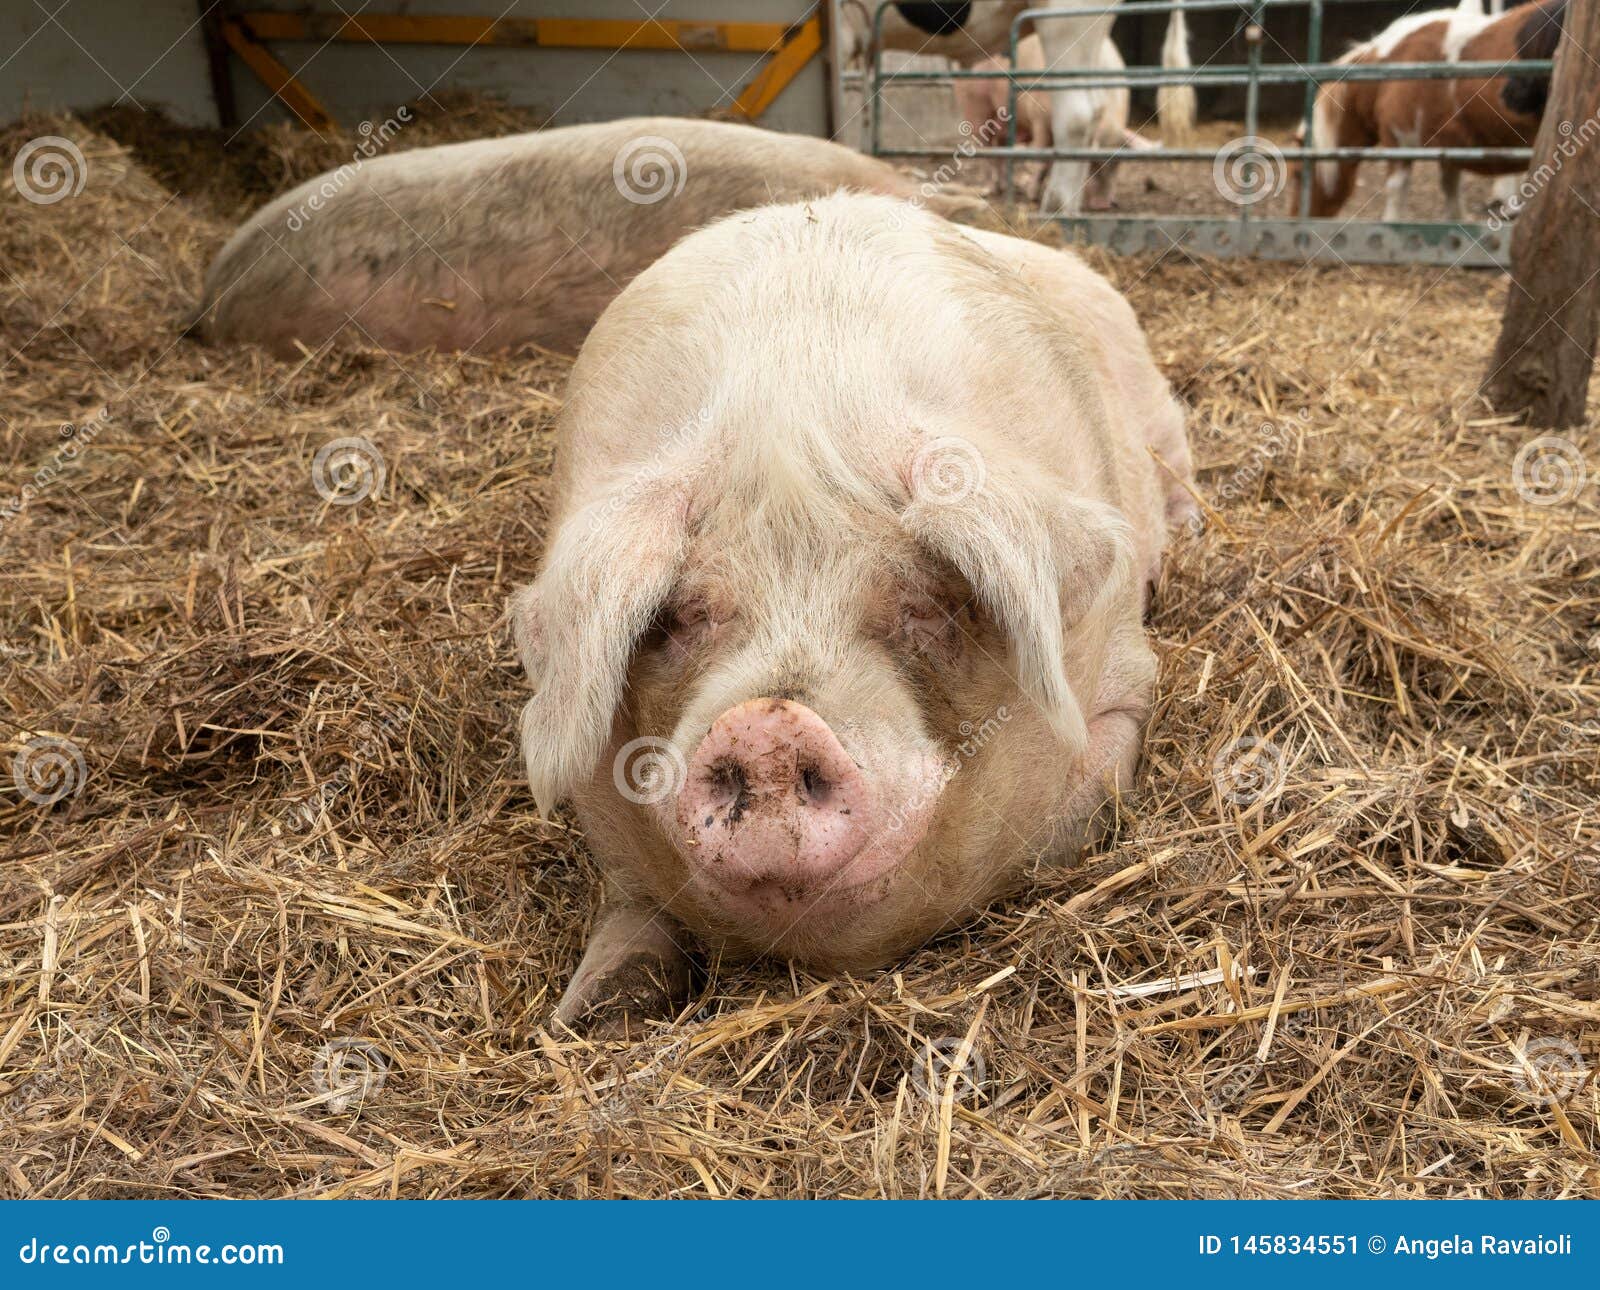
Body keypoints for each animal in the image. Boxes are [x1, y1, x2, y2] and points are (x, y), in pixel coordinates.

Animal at [505, 192, 1196, 1037]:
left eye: (926, 602)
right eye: (679, 615)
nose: (768, 728)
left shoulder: (1126, 678)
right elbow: (633, 911)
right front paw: (581, 1015)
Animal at [1292, 0, 1555, 219]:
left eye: (1296, 173)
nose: (1294, 218)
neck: (1392, 68)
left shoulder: (1398, 142)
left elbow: (1396, 194)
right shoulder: (1450, 147)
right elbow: (1451, 195)